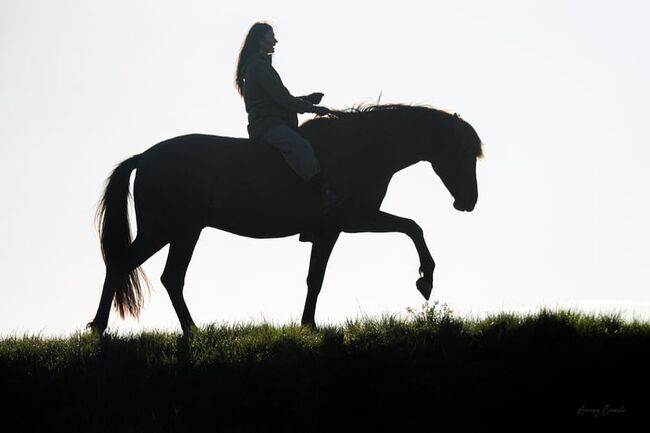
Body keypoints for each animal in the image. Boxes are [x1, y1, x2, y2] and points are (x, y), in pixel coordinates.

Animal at [86, 104, 480, 334]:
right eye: (463, 153)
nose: (469, 202)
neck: (362, 146)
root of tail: (144, 157)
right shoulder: (351, 221)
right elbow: (412, 227)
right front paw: (425, 279)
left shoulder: (336, 228)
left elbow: (315, 279)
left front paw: (307, 325)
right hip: (176, 231)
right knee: (157, 273)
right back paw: (181, 330)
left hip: (171, 232)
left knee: (135, 268)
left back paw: (109, 326)